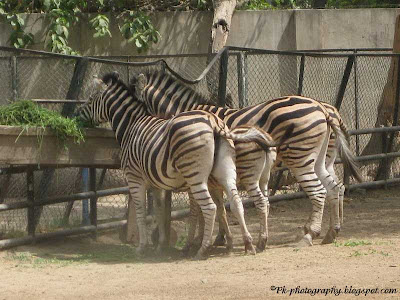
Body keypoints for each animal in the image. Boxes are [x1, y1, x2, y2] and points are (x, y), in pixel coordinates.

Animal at [76, 73, 288, 260]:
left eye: (91, 99)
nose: (76, 116)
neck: (131, 125)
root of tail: (214, 123)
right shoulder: (157, 183)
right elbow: (161, 210)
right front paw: (161, 244)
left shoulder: (134, 177)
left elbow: (141, 211)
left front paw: (142, 247)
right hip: (230, 173)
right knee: (239, 202)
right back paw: (250, 244)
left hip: (199, 176)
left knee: (211, 207)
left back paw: (204, 250)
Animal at [131, 71, 362, 250]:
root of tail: (326, 110)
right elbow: (221, 206)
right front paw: (220, 238)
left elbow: (209, 207)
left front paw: (204, 240)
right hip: (323, 159)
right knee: (336, 187)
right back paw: (332, 231)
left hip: (301, 157)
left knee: (320, 191)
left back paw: (309, 235)